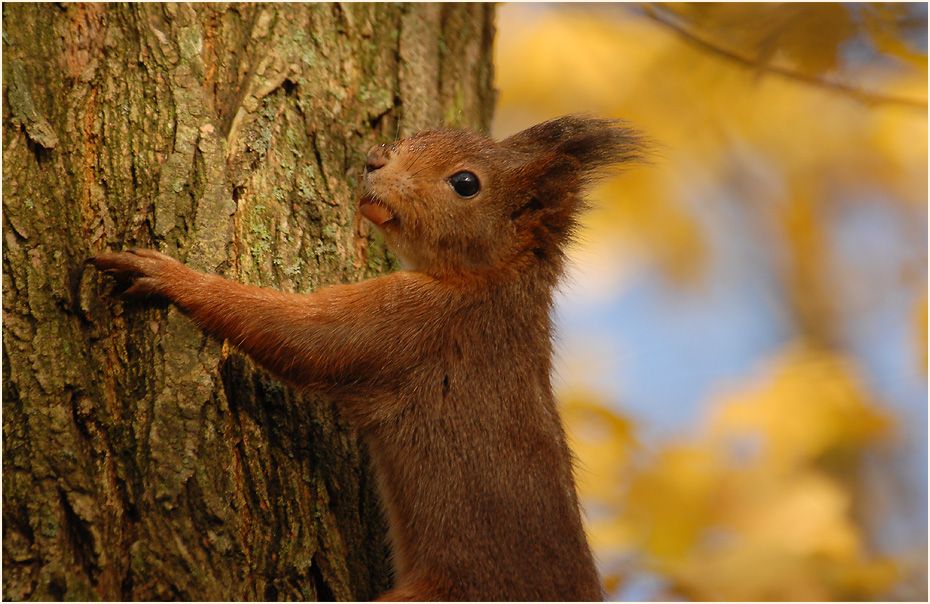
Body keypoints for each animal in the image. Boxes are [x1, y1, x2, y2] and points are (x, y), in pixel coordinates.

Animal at [89, 115, 641, 601]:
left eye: (466, 183)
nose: (374, 159)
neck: (490, 280)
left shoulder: (415, 327)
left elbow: (306, 337)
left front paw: (173, 276)